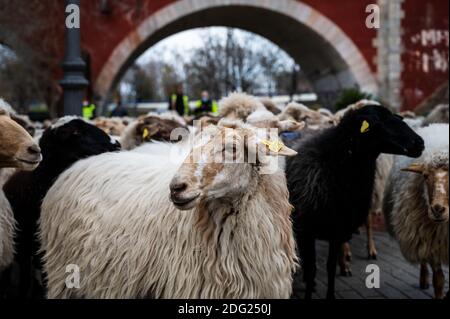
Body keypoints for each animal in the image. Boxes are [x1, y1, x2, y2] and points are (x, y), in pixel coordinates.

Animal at [286, 105, 424, 300]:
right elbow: (312, 269)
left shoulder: (338, 230)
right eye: (378, 122)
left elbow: (330, 267)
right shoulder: (307, 231)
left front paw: (330, 295)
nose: (420, 143)